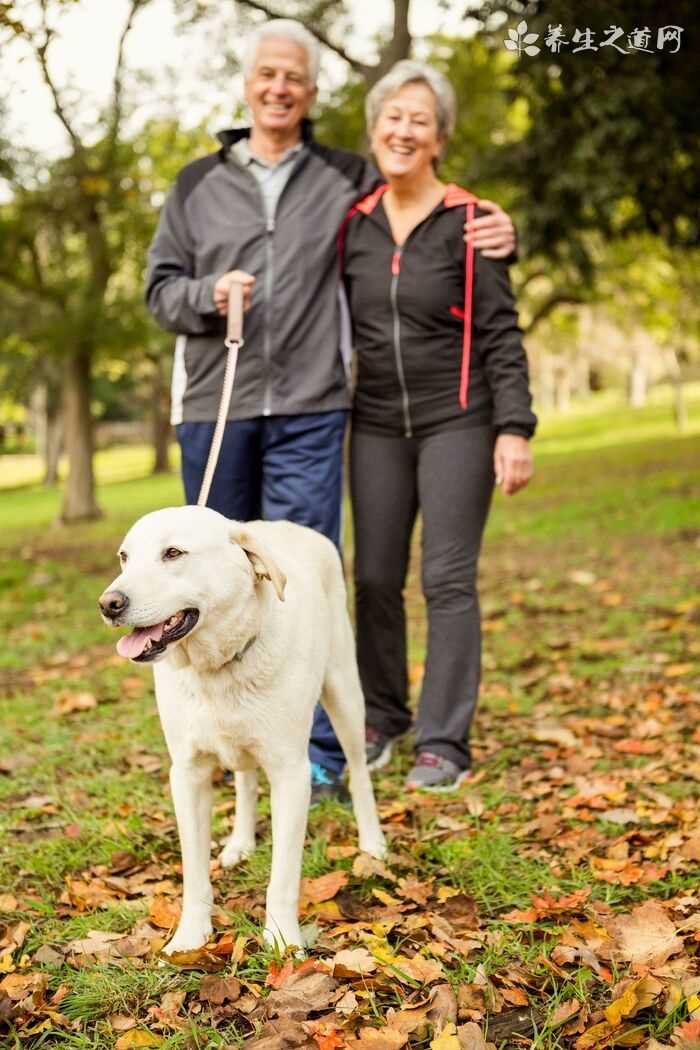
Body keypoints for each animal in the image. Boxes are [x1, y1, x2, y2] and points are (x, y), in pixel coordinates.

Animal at [99, 503, 386, 957]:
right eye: (125, 557)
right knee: (246, 780)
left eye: (173, 553)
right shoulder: (188, 774)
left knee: (358, 771)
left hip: (344, 695)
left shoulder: (292, 774)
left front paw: (282, 942)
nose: (109, 604)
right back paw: (240, 843)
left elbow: (283, 877)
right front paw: (190, 937)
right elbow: (194, 872)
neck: (217, 667)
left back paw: (372, 841)